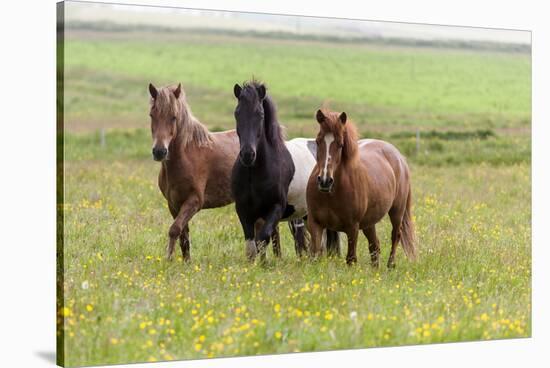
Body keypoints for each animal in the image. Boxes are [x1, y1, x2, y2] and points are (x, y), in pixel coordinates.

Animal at [149, 83, 242, 262]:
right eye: (151, 115)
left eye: (174, 117)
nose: (159, 152)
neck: (186, 157)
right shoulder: (174, 204)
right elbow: (183, 236)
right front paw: (186, 262)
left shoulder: (194, 201)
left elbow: (174, 229)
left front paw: (168, 259)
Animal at [230, 80, 340, 258]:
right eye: (237, 113)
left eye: (260, 114)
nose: (247, 155)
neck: (255, 172)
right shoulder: (244, 211)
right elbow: (251, 247)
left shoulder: (276, 208)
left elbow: (263, 239)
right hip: (307, 214)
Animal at [306, 109, 418, 268]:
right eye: (318, 141)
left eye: (340, 144)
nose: (325, 181)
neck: (332, 194)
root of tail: (399, 157)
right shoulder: (315, 224)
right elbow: (314, 255)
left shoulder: (352, 228)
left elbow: (351, 259)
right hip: (369, 223)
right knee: (375, 245)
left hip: (397, 212)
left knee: (395, 236)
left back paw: (390, 266)